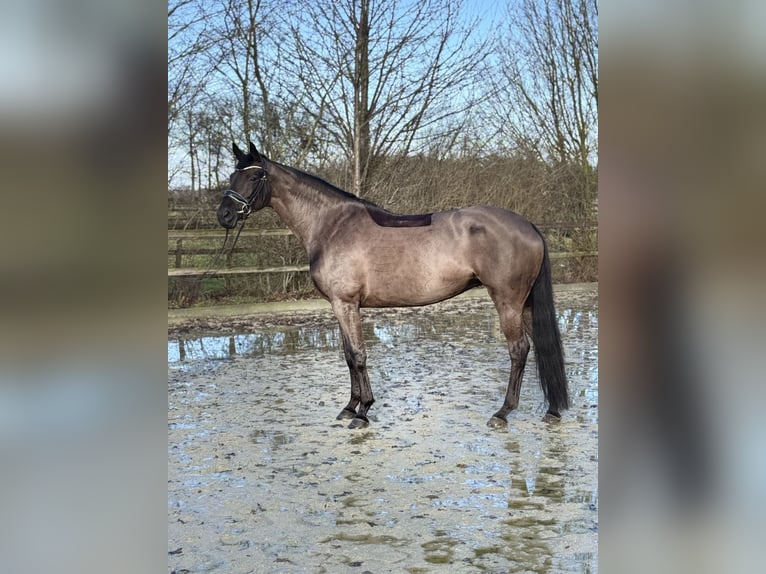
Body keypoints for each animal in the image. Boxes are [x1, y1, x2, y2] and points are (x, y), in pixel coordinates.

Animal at [216, 142, 568, 430]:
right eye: (232, 176)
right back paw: (552, 410)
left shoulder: (345, 303)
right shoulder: (340, 305)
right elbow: (348, 355)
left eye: (254, 177)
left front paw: (363, 412)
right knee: (542, 346)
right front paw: (350, 406)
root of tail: (528, 225)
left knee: (519, 349)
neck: (331, 226)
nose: (224, 215)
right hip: (524, 302)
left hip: (507, 300)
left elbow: (358, 355)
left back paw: (502, 413)